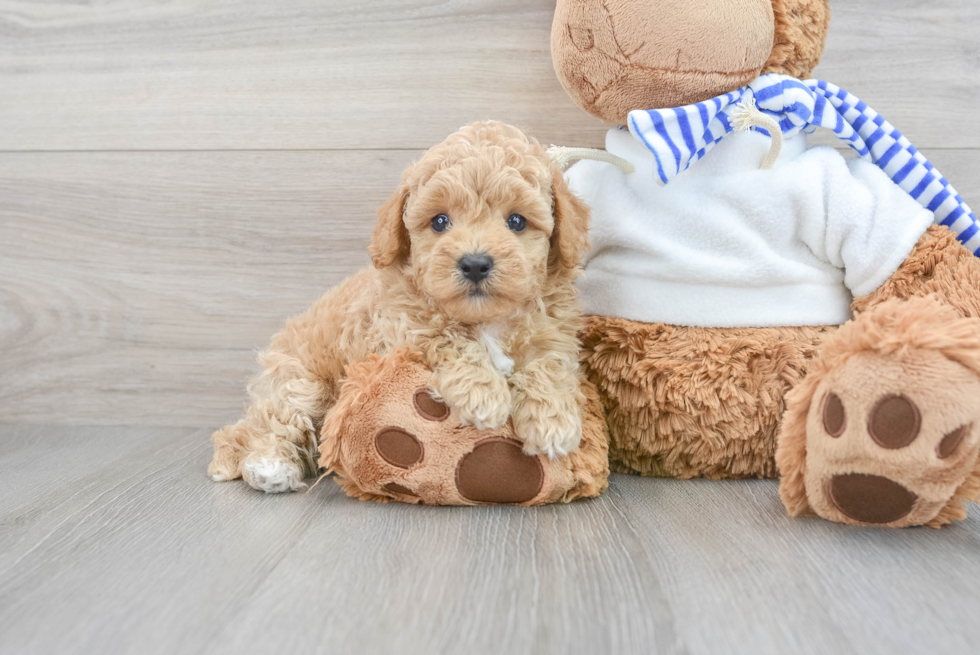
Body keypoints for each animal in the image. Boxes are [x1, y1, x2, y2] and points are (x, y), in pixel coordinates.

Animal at [207, 121, 588, 492]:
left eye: (517, 221)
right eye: (439, 221)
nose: (475, 264)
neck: (485, 320)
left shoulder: (552, 330)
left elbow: (547, 364)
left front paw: (553, 421)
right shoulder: (399, 330)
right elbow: (447, 337)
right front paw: (482, 394)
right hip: (300, 382)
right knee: (259, 425)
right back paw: (268, 466)